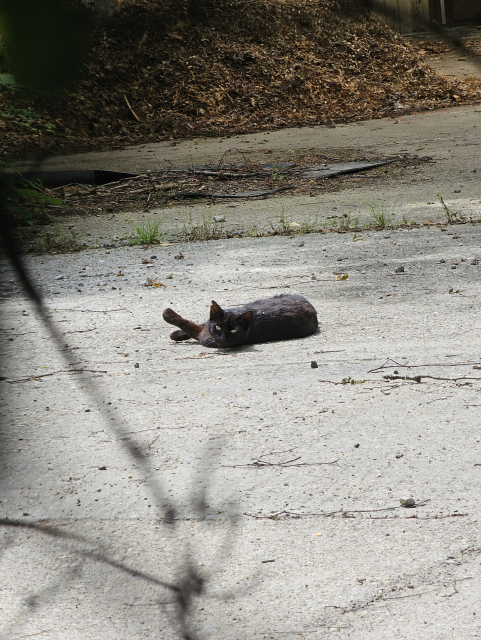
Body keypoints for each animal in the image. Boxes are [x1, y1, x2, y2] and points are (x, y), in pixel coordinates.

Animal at [162, 294, 318, 348]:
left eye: (233, 330)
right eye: (218, 327)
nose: (223, 338)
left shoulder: (205, 338)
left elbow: (189, 325)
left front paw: (168, 313)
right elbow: (200, 324)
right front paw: (177, 334)